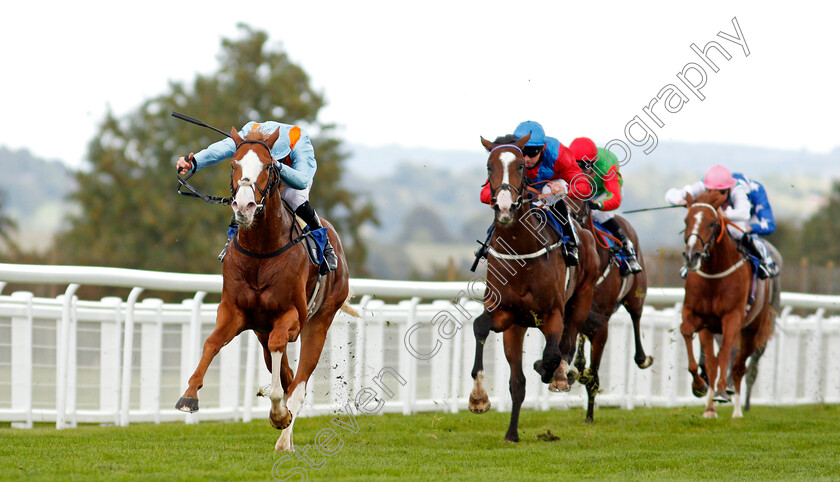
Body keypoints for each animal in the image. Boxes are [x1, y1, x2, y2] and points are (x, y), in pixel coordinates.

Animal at [176, 126, 360, 450]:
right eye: (233, 164)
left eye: (267, 166)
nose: (244, 206)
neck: (261, 251)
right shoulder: (234, 311)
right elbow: (212, 342)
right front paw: (189, 396)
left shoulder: (292, 317)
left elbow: (282, 364)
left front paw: (278, 413)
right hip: (262, 331)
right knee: (287, 373)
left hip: (320, 321)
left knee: (299, 383)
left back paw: (285, 438)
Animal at [466, 134, 596, 442]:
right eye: (489, 166)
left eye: (521, 166)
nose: (504, 207)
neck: (521, 250)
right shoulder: (504, 314)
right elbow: (479, 327)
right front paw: (478, 398)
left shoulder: (552, 313)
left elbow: (552, 354)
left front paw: (552, 372)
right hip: (517, 327)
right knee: (518, 381)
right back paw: (512, 433)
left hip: (582, 299)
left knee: (567, 342)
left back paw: (560, 375)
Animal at [568, 201, 652, 424]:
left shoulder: (602, 323)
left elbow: (594, 376)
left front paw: (589, 416)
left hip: (636, 293)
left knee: (636, 316)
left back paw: (642, 358)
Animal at [680, 190, 776, 416]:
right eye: (686, 220)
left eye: (712, 223)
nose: (691, 256)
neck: (714, 276)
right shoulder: (698, 317)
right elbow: (689, 335)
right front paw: (699, 386)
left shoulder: (732, 317)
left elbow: (725, 353)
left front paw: (722, 391)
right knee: (715, 361)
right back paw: (711, 406)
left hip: (751, 329)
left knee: (740, 365)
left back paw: (737, 409)